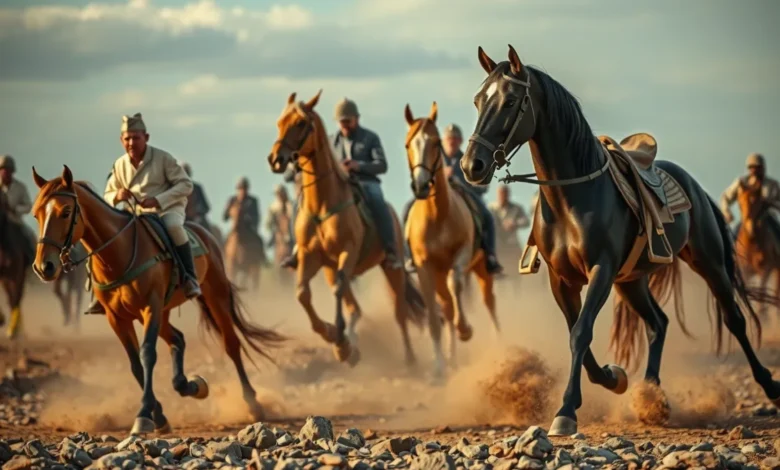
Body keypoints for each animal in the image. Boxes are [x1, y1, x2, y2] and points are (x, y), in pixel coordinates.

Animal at [30, 166, 285, 436]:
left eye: (66, 212)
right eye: (36, 214)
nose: (44, 266)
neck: (117, 253)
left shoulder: (149, 307)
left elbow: (147, 355)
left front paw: (144, 415)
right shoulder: (117, 318)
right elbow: (135, 365)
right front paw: (159, 416)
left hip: (215, 296)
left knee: (231, 344)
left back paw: (252, 402)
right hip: (165, 312)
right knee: (178, 339)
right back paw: (190, 385)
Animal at [267, 90, 426, 366]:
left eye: (300, 123)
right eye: (279, 122)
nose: (276, 159)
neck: (322, 205)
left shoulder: (347, 252)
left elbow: (338, 291)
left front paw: (341, 343)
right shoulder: (311, 257)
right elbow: (302, 293)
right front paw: (332, 334)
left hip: (390, 268)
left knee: (399, 312)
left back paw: (409, 358)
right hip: (331, 268)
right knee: (355, 308)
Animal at [403, 102, 499, 379]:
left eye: (435, 142)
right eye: (408, 144)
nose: (421, 185)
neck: (437, 217)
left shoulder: (462, 255)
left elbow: (456, 284)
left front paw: (465, 330)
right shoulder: (424, 268)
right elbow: (435, 318)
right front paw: (439, 368)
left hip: (482, 269)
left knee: (489, 303)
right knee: (446, 306)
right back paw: (451, 358)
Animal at [735, 176, 780, 322]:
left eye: (759, 203)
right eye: (740, 204)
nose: (751, 228)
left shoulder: (765, 269)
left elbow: (761, 292)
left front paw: (763, 316)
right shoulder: (745, 271)